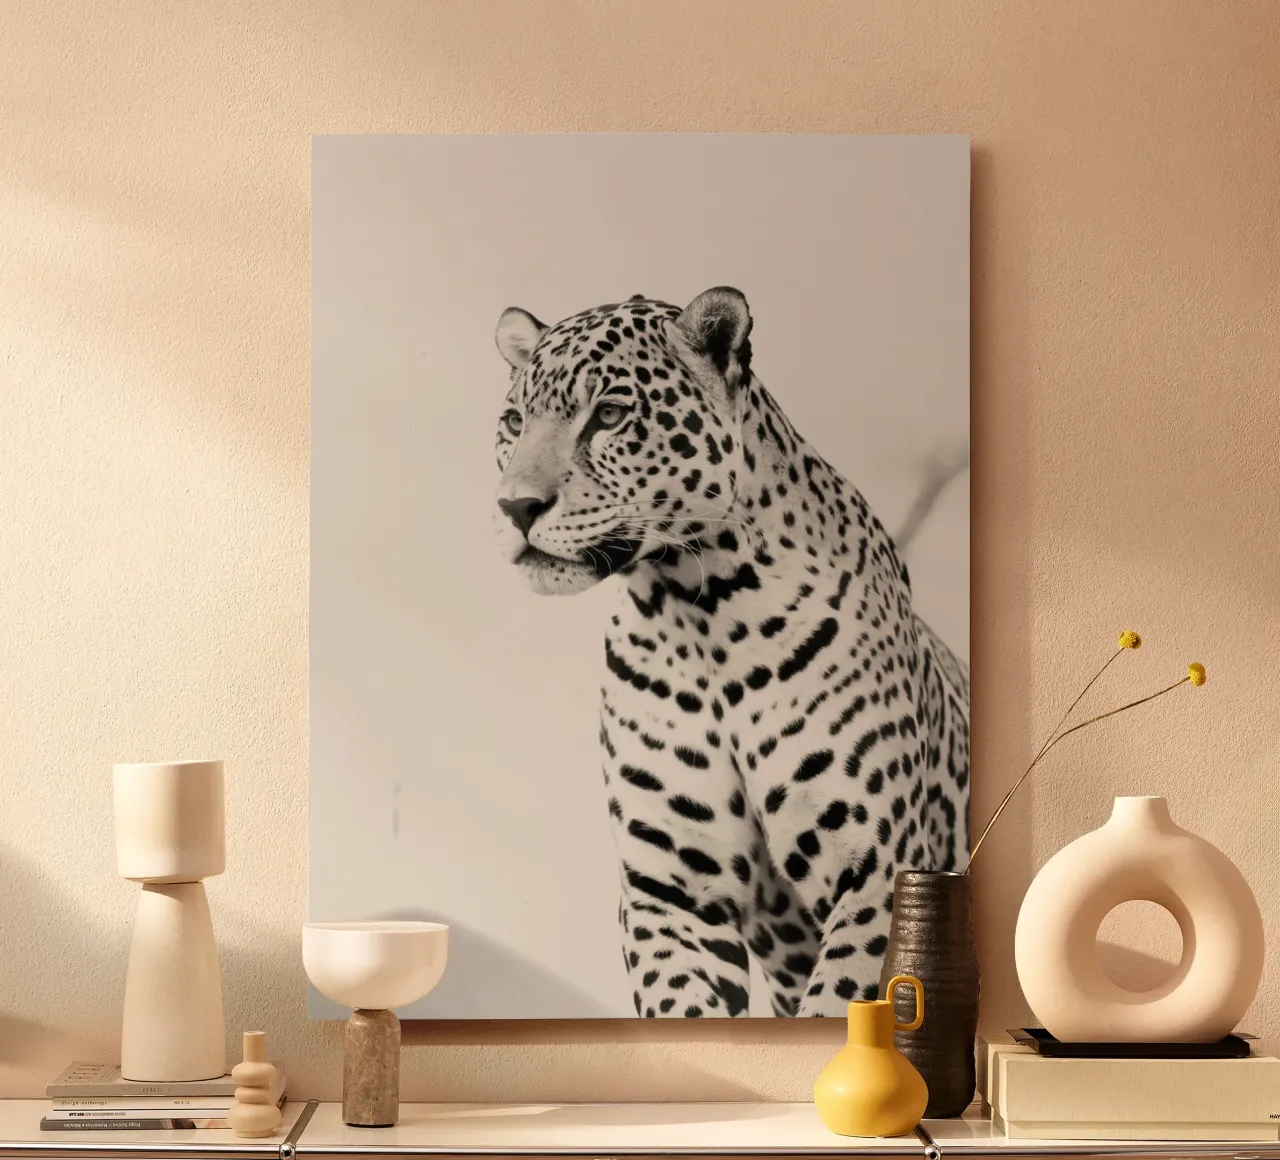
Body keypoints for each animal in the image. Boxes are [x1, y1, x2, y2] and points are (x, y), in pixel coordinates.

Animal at [491, 287, 969, 1017]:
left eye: (609, 415)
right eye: (515, 421)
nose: (515, 507)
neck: (699, 611)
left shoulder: (876, 869)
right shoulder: (671, 891)